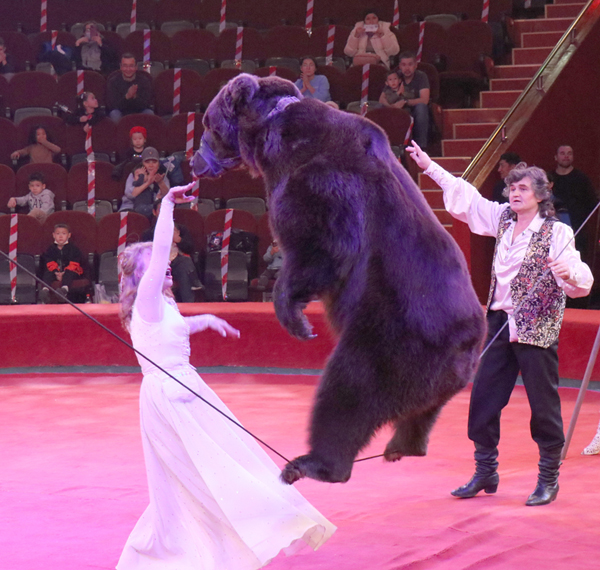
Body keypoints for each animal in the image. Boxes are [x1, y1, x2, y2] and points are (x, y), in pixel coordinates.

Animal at [193, 73, 488, 484]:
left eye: (207, 124)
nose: (193, 161)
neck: (273, 132)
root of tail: (468, 347)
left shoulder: (318, 179)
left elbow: (326, 244)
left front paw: (293, 314)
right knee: (421, 412)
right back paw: (404, 445)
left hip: (391, 339)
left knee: (348, 390)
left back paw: (315, 463)